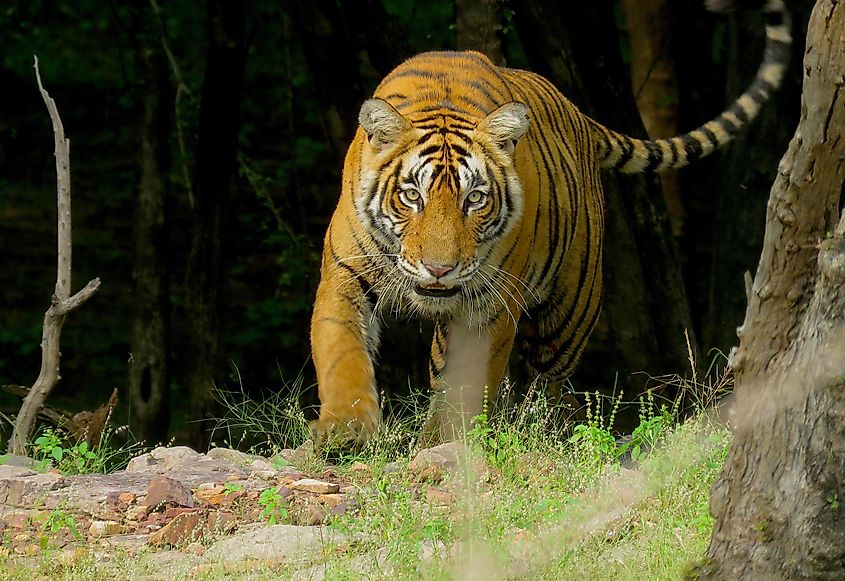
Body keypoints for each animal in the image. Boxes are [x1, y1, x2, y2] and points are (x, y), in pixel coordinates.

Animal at [309, 0, 791, 445]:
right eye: (412, 196)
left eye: (475, 199)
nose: (439, 270)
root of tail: (578, 112)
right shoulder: (345, 272)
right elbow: (340, 351)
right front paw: (346, 429)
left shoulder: (490, 302)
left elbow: (471, 384)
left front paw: (457, 443)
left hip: (570, 312)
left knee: (548, 388)